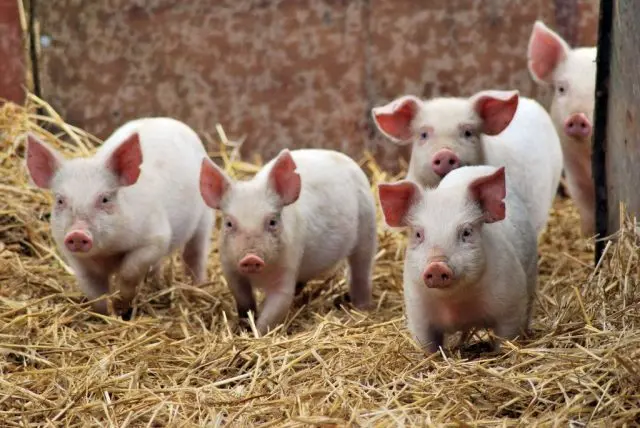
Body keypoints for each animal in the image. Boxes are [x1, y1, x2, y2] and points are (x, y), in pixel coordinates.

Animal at [25, 117, 212, 314]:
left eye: (105, 199)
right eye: (60, 200)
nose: (77, 234)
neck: (106, 253)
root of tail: (168, 120)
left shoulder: (156, 237)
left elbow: (129, 270)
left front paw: (123, 304)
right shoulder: (77, 261)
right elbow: (95, 292)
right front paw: (106, 314)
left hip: (205, 217)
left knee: (195, 254)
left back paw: (198, 288)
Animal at [200, 149, 378, 336]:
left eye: (272, 222)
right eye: (228, 223)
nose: (251, 258)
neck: (259, 276)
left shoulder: (288, 266)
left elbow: (277, 306)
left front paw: (258, 335)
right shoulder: (230, 269)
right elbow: (244, 302)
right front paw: (244, 328)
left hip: (368, 227)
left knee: (362, 270)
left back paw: (362, 308)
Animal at [378, 166, 536, 352]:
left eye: (466, 232)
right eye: (418, 234)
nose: (436, 266)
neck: (455, 305)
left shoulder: (512, 304)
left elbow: (506, 338)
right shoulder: (417, 314)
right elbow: (427, 345)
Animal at [528, 20, 596, 236]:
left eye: (599, 91)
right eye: (561, 88)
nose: (577, 117)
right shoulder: (574, 176)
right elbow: (586, 209)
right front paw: (587, 236)